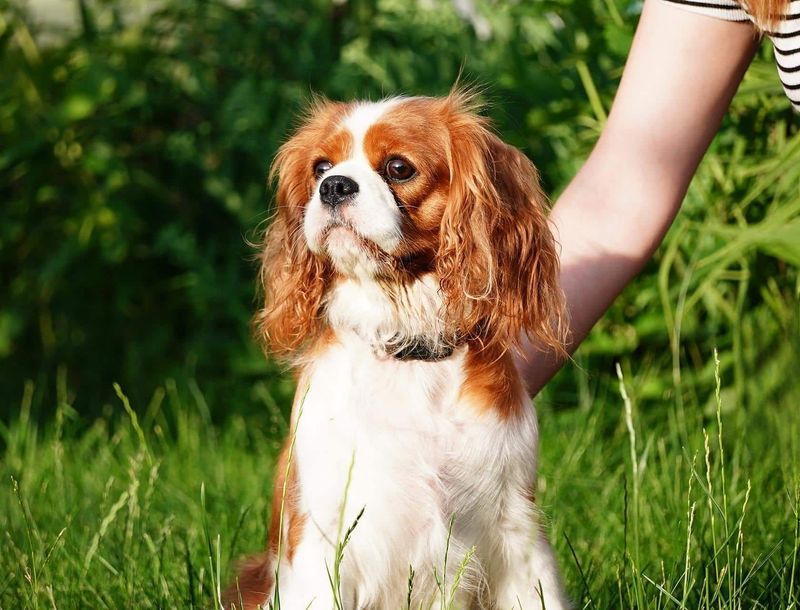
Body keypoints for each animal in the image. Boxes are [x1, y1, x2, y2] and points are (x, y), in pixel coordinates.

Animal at [223, 88, 568, 604]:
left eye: (399, 168)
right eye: (321, 167)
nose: (334, 186)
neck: (406, 346)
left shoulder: (516, 533)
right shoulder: (322, 538)